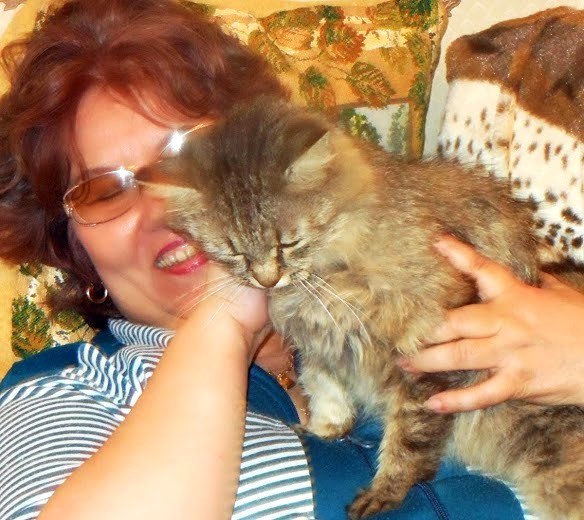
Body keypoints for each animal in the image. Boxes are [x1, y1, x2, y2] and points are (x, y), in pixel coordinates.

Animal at [146, 96, 584, 519]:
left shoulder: (425, 353)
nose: (266, 280)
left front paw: (384, 491)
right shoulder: (319, 344)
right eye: (234, 252)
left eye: (288, 243)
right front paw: (324, 429)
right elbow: (324, 387)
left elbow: (408, 440)